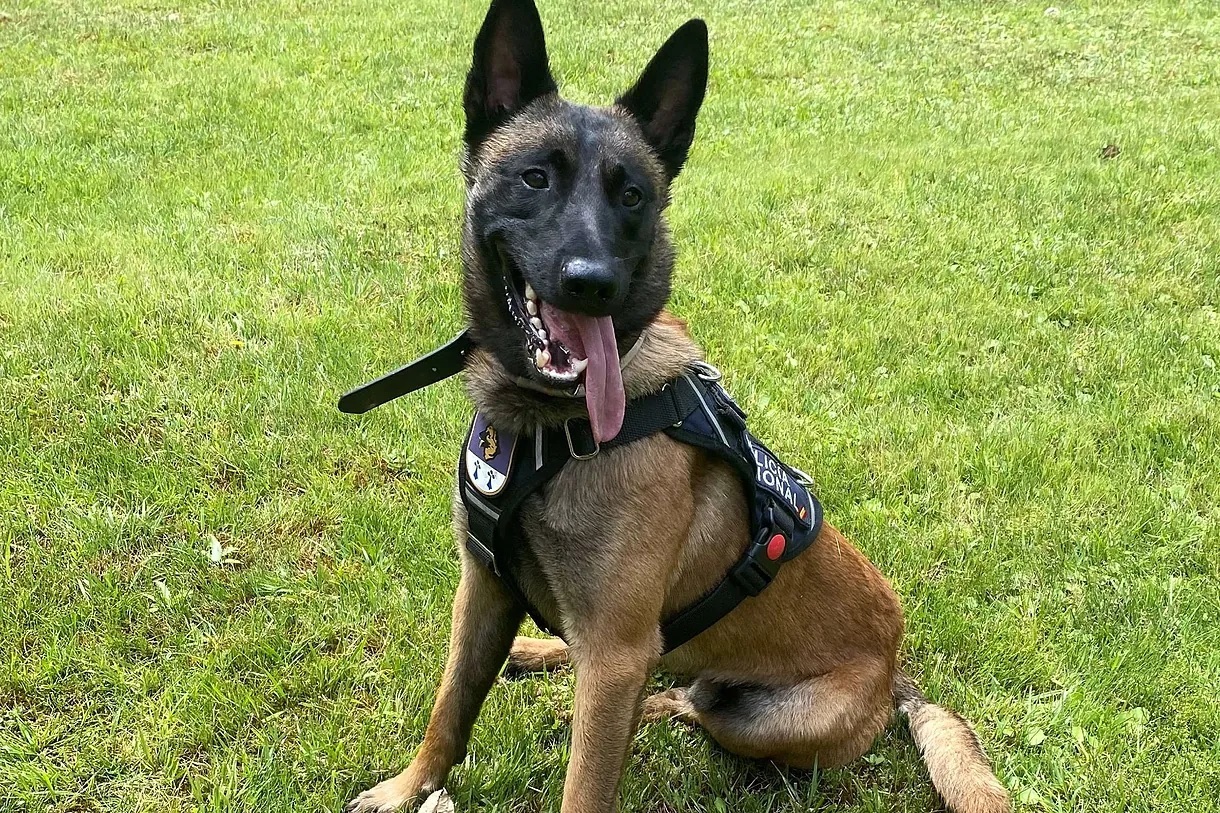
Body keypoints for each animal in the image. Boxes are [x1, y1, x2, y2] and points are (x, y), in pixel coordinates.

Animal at [346, 1, 1010, 810]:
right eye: (535, 178)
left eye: (632, 195)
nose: (592, 282)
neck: (552, 427)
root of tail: (895, 675)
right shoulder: (482, 593)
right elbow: (450, 706)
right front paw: (409, 787)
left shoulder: (616, 652)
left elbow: (584, 783)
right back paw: (543, 650)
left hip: (765, 716)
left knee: (691, 701)